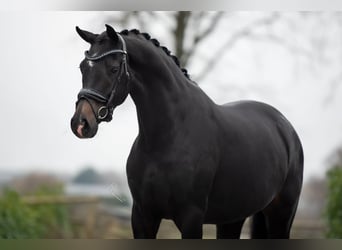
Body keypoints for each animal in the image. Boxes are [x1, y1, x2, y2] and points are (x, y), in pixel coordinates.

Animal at [71, 24, 304, 238]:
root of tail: (286, 128)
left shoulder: (191, 217)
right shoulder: (142, 216)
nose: (81, 123)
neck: (167, 138)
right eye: (83, 67)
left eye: (113, 68)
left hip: (281, 216)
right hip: (232, 218)